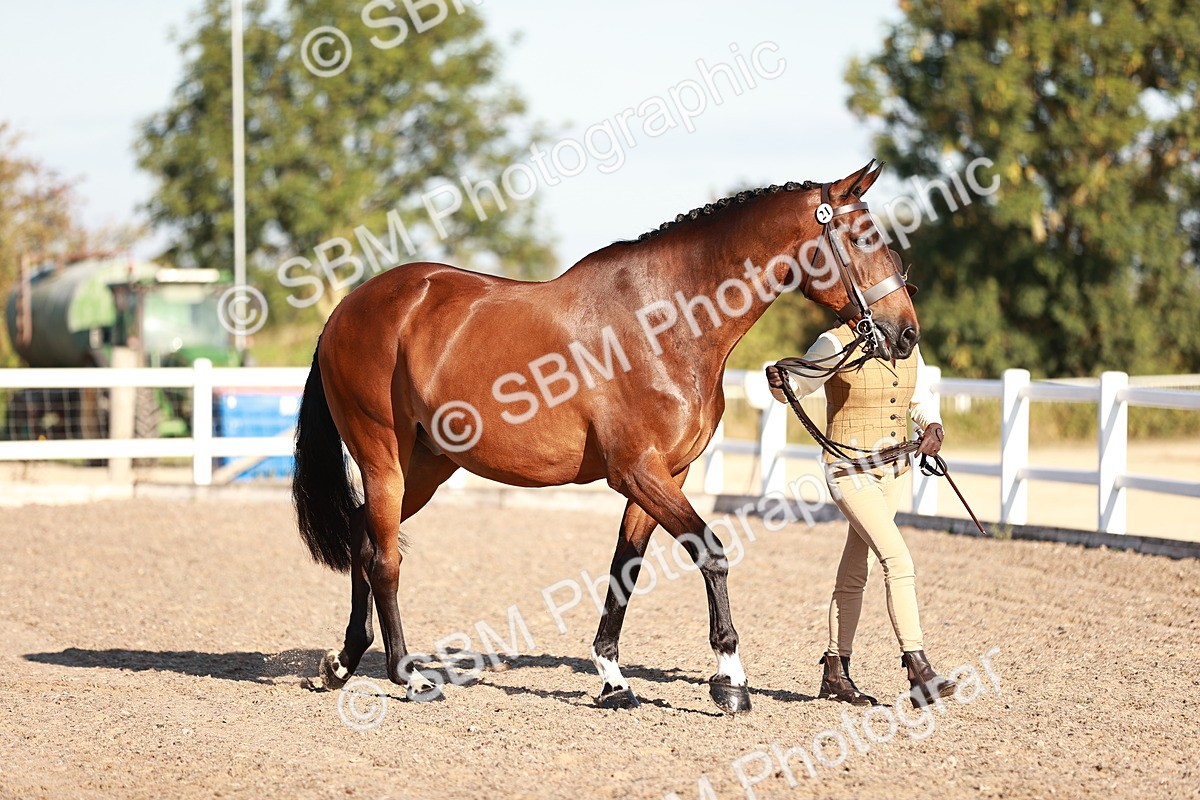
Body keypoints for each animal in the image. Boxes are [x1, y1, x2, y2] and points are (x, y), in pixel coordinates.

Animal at [291, 159, 920, 714]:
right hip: (384, 459)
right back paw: (410, 677)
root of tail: (348, 308)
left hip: (426, 465)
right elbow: (711, 552)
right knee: (385, 561)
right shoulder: (637, 471)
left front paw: (614, 680)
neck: (667, 322)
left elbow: (626, 569)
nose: (905, 334)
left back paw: (342, 662)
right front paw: (731, 681)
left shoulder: (664, 475)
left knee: (364, 540)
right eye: (861, 238)